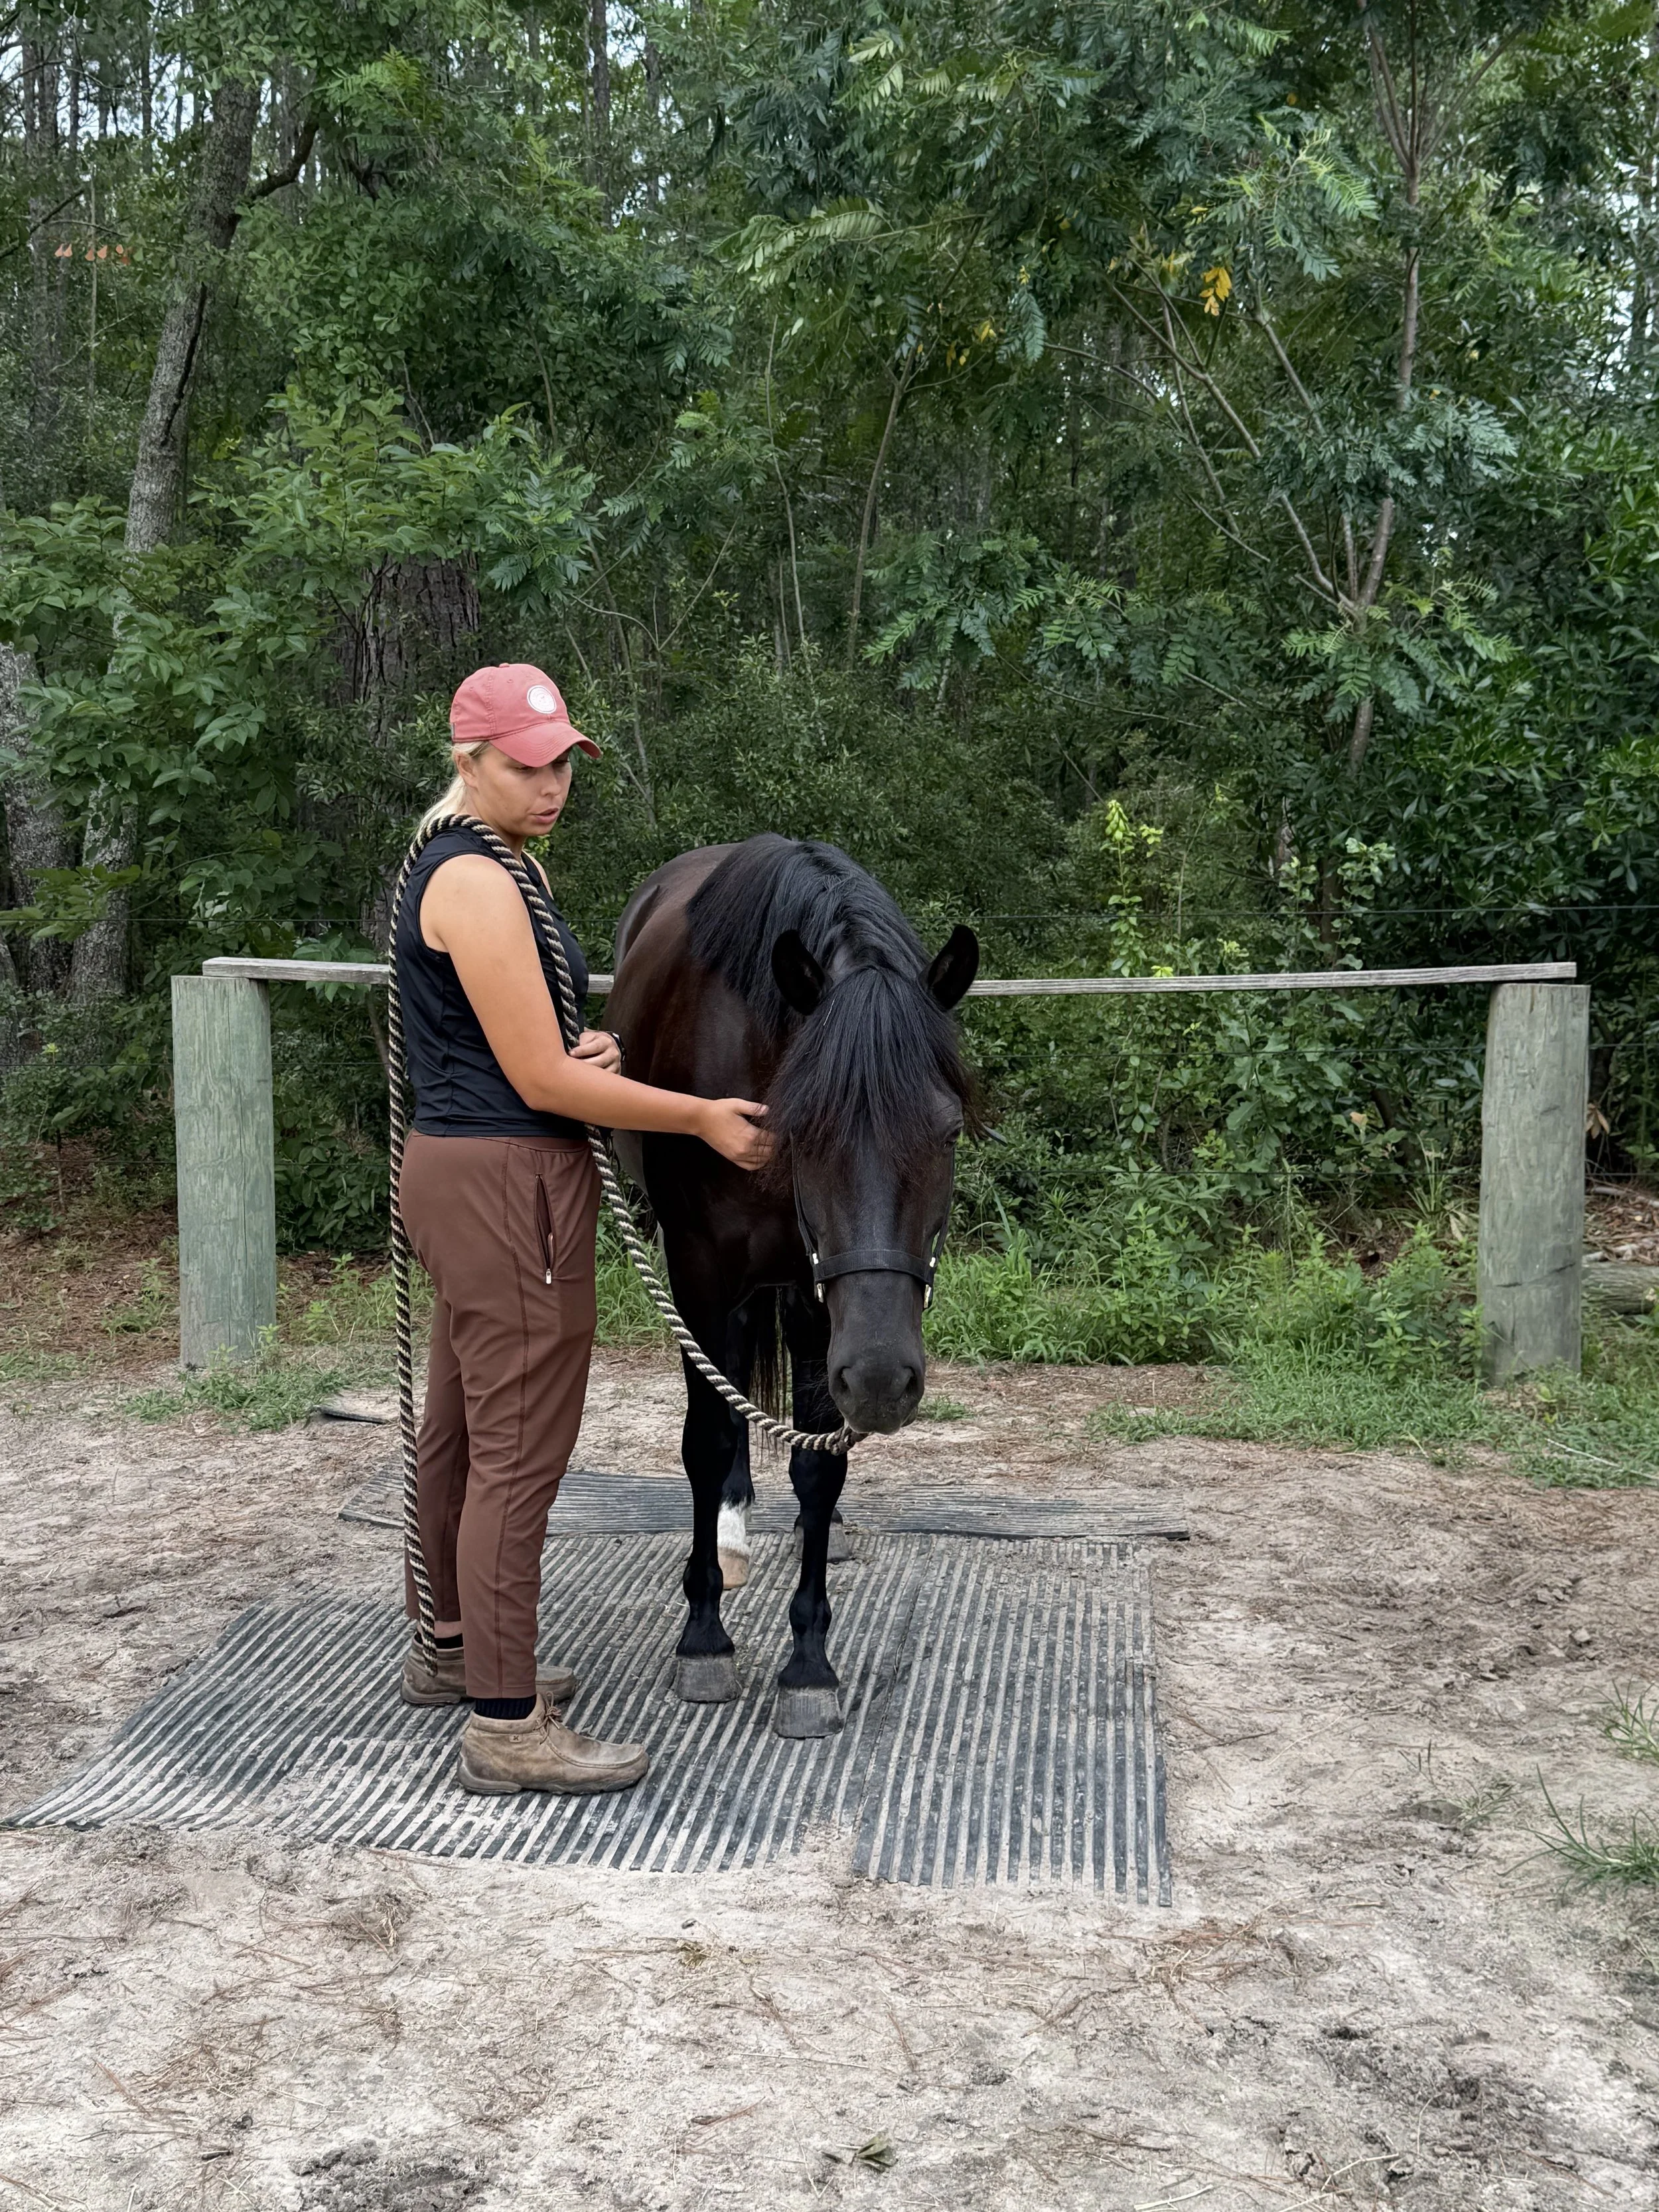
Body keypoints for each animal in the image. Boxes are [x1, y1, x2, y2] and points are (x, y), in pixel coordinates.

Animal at [602, 834, 978, 1738]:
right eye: (800, 1128)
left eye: (948, 1131)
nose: (881, 1380)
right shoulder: (697, 1271)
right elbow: (705, 1438)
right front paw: (703, 1637)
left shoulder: (819, 1299)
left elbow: (817, 1465)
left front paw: (809, 1661)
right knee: (728, 1380)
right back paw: (729, 1533)